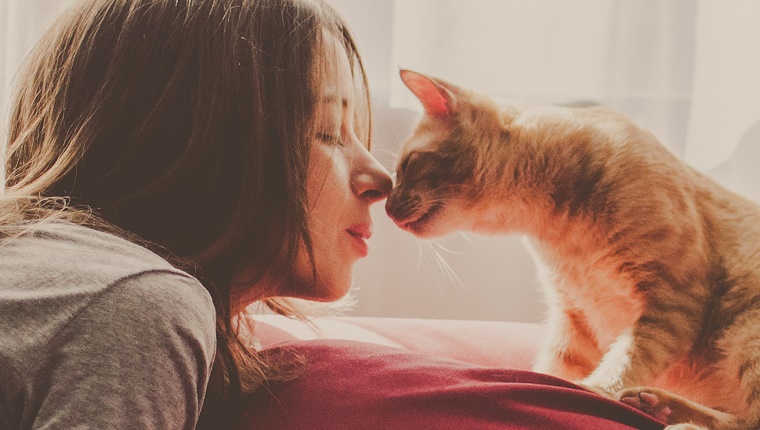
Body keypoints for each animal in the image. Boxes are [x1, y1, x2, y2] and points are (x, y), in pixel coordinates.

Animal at [386, 69, 760, 428]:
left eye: (408, 164)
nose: (387, 207)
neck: (562, 234)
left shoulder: (673, 299)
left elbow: (623, 362)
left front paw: (594, 389)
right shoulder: (574, 320)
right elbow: (553, 374)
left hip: (745, 332)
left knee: (747, 420)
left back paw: (671, 416)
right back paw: (655, 405)